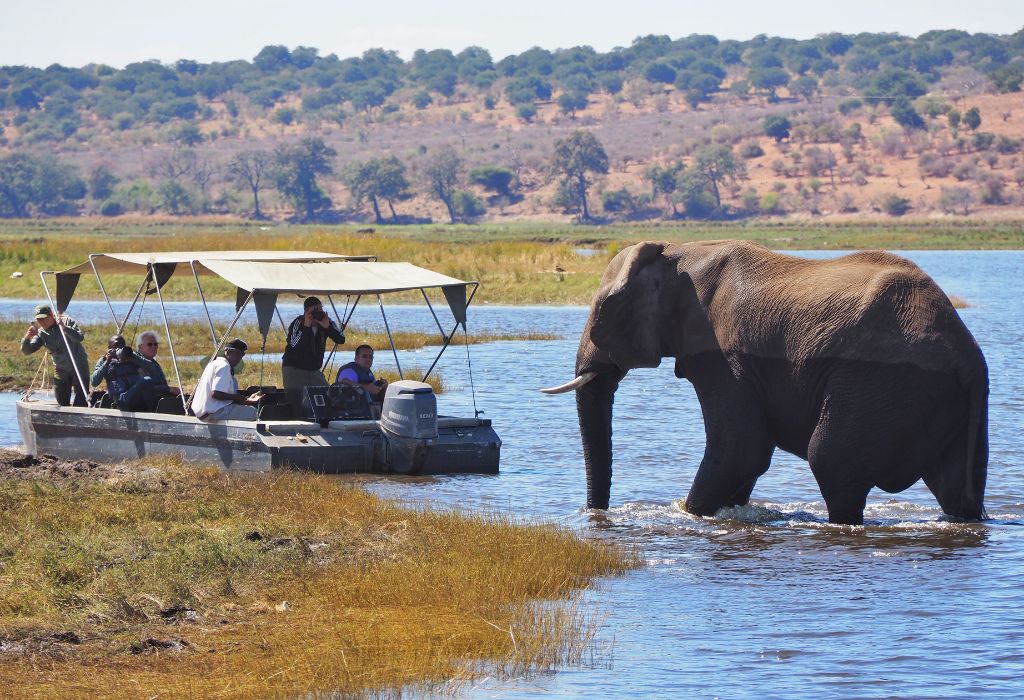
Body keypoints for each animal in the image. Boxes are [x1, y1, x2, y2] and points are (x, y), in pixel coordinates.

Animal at [548, 240, 987, 523]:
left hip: (882, 385)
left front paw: (689, 515)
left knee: (831, 464)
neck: (676, 251)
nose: (596, 514)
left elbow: (741, 448)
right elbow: (745, 457)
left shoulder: (721, 354)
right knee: (955, 490)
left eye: (603, 313)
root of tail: (969, 358)